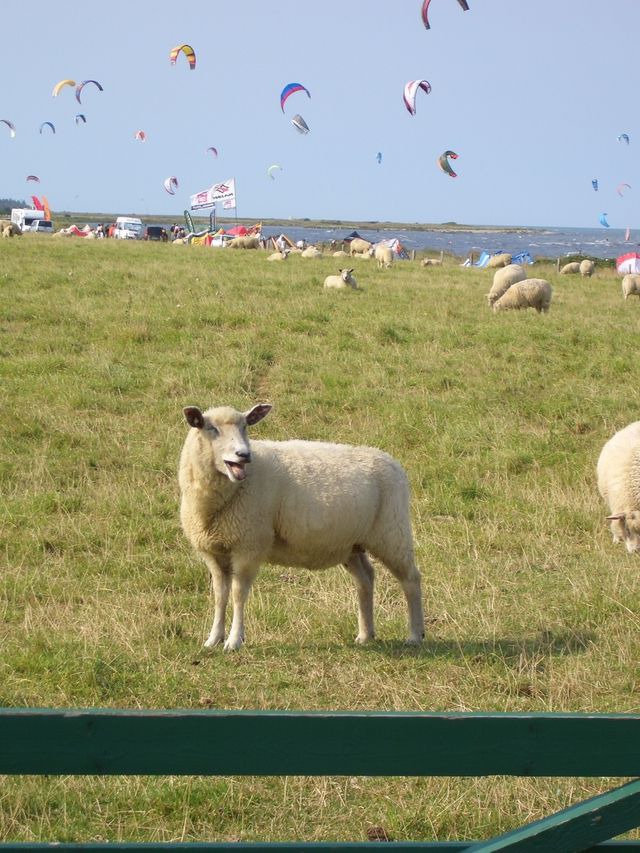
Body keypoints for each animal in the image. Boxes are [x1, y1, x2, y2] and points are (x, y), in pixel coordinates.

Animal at [178, 402, 424, 648]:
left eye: (245, 426)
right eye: (212, 429)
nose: (244, 455)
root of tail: (393, 462)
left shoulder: (249, 546)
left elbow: (238, 594)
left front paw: (234, 640)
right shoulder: (213, 551)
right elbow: (220, 595)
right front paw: (213, 638)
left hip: (392, 532)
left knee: (411, 579)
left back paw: (415, 635)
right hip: (351, 544)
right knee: (365, 579)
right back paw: (365, 635)